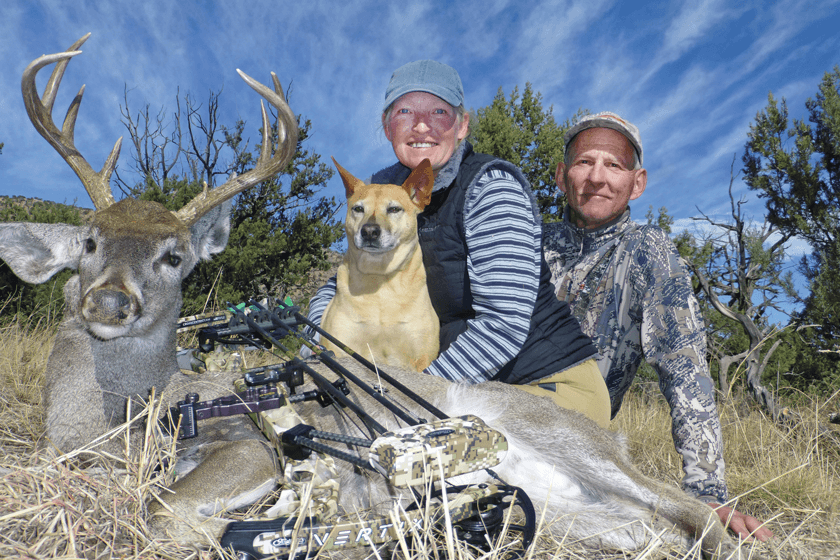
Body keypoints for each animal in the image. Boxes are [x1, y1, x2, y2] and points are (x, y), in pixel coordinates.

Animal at [322, 158, 440, 372]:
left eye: (394, 209)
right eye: (358, 209)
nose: (369, 231)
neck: (379, 279)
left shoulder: (421, 357)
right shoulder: (340, 346)